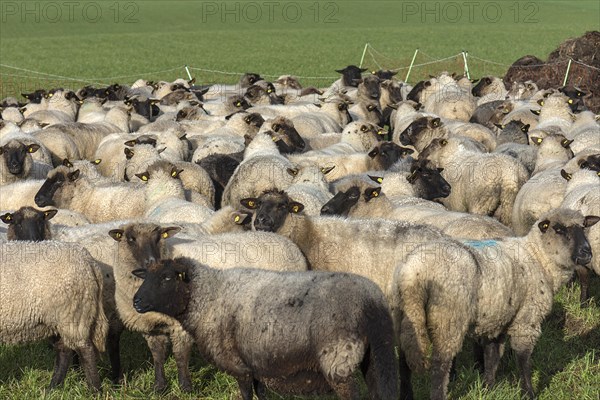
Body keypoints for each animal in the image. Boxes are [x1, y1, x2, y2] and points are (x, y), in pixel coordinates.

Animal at [0, 241, 106, 390]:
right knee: (64, 350)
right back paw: (53, 388)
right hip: (55, 320)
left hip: (73, 312)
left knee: (85, 350)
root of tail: (88, 260)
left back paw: (95, 390)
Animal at [134, 258, 400, 398]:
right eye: (144, 276)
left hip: (338, 359)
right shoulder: (257, 365)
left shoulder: (239, 366)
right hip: (379, 355)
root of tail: (370, 301)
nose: (136, 302)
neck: (209, 296)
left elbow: (246, 394)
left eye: (167, 278)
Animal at [394, 209, 600, 400]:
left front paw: (488, 389)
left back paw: (406, 394)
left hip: (409, 317)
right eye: (559, 229)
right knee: (440, 366)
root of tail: (415, 271)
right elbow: (523, 358)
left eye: (584, 227)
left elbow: (492, 357)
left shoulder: (498, 318)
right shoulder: (526, 319)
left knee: (404, 360)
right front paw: (528, 392)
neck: (539, 257)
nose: (586, 253)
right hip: (448, 320)